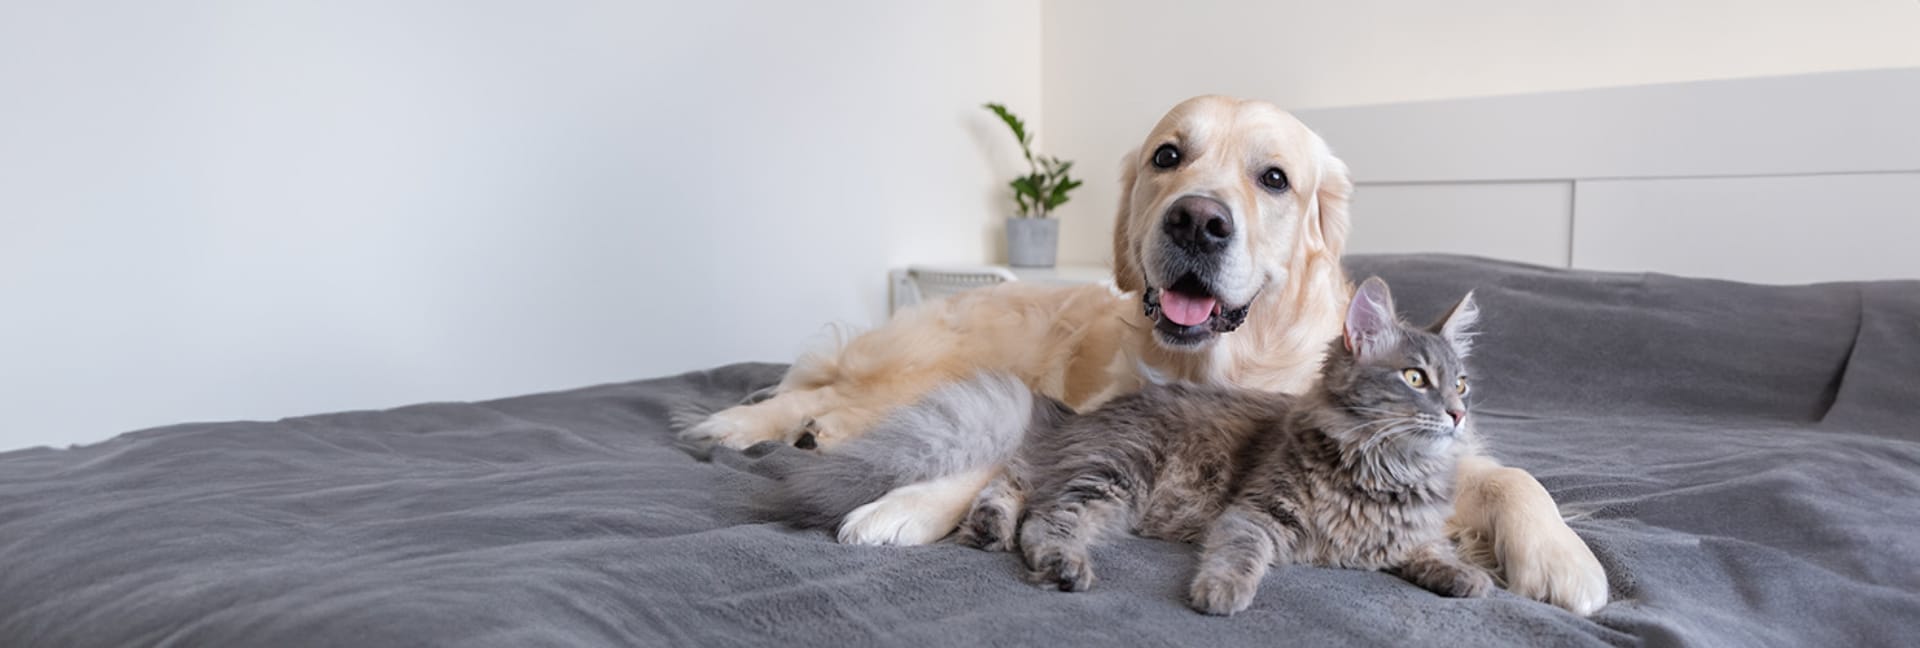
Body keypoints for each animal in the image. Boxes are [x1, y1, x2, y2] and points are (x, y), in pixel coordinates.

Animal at [763, 276, 1492, 615]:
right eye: (1415, 378)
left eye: (1461, 382)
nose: (1457, 413)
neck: (1386, 473)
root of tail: (1086, 415)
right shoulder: (1254, 513)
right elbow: (1241, 556)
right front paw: (1221, 594)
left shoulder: (1400, 538)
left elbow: (1430, 552)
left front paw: (1469, 580)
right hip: (1119, 474)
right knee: (1045, 520)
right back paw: (1061, 566)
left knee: (1016, 485)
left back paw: (988, 527)